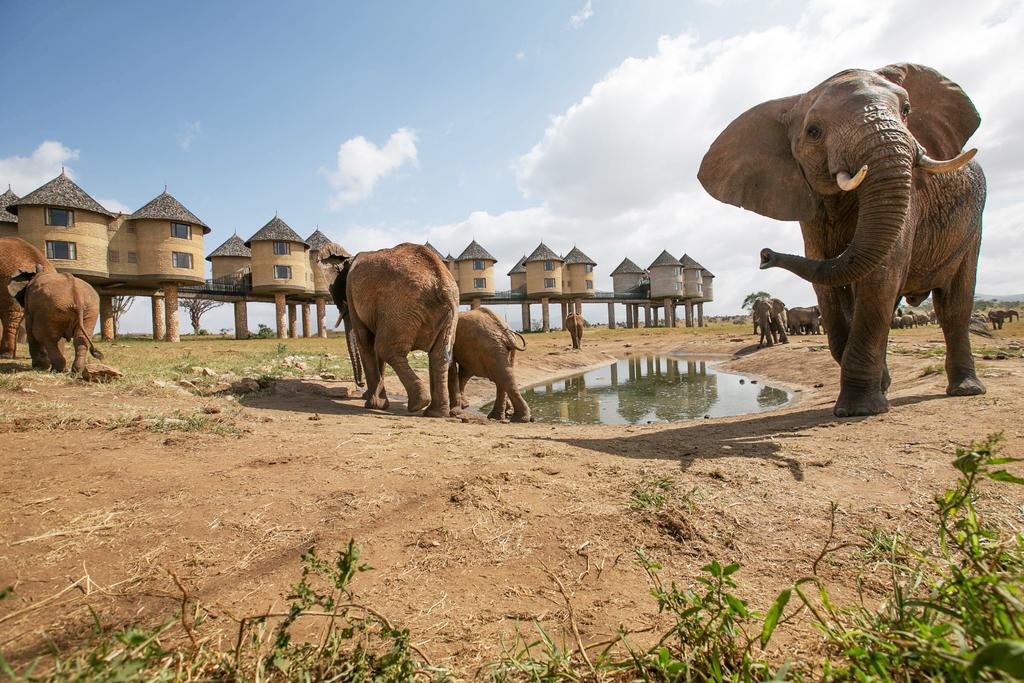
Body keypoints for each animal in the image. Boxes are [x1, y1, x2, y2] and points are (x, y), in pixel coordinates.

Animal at [323, 242, 460, 419]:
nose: (359, 384)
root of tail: (441, 281)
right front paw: (370, 397)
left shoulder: (352, 295)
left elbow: (366, 341)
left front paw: (373, 404)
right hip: (448, 314)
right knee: (439, 355)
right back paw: (435, 413)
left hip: (400, 308)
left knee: (385, 348)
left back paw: (418, 404)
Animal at [704, 63, 983, 417]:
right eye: (814, 131)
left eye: (906, 110)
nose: (764, 255)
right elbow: (829, 287)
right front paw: (874, 393)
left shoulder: (912, 200)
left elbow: (880, 278)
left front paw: (859, 409)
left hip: (973, 225)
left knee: (954, 305)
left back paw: (966, 390)